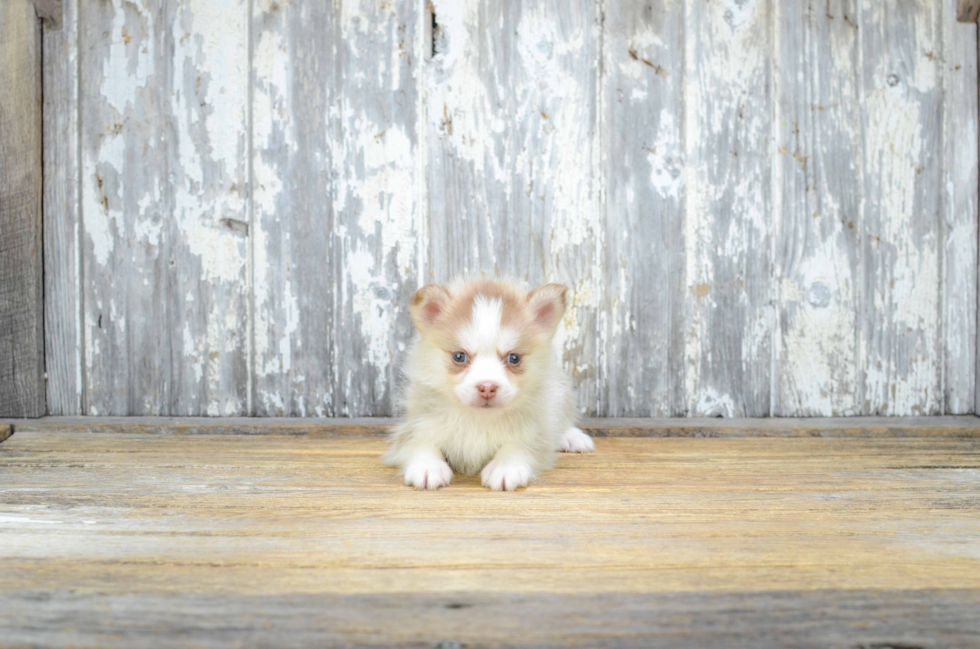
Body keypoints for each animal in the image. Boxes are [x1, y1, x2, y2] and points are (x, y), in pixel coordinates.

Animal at [384, 280, 592, 492]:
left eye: (514, 358)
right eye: (459, 356)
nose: (487, 387)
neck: (479, 419)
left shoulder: (535, 432)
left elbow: (518, 446)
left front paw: (506, 467)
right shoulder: (415, 425)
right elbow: (420, 444)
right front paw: (427, 466)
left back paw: (572, 437)